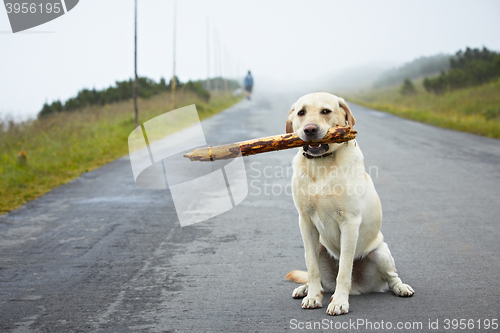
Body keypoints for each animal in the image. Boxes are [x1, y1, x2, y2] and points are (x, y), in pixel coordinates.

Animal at [286, 92, 414, 316]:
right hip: (321, 247)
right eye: (301, 112)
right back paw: (306, 289)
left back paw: (401, 288)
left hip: (380, 253)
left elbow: (344, 269)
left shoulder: (349, 222)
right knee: (318, 277)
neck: (321, 165)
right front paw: (313, 297)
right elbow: (312, 267)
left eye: (325, 111)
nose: (310, 130)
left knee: (392, 278)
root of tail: (357, 287)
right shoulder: (305, 222)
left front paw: (339, 302)